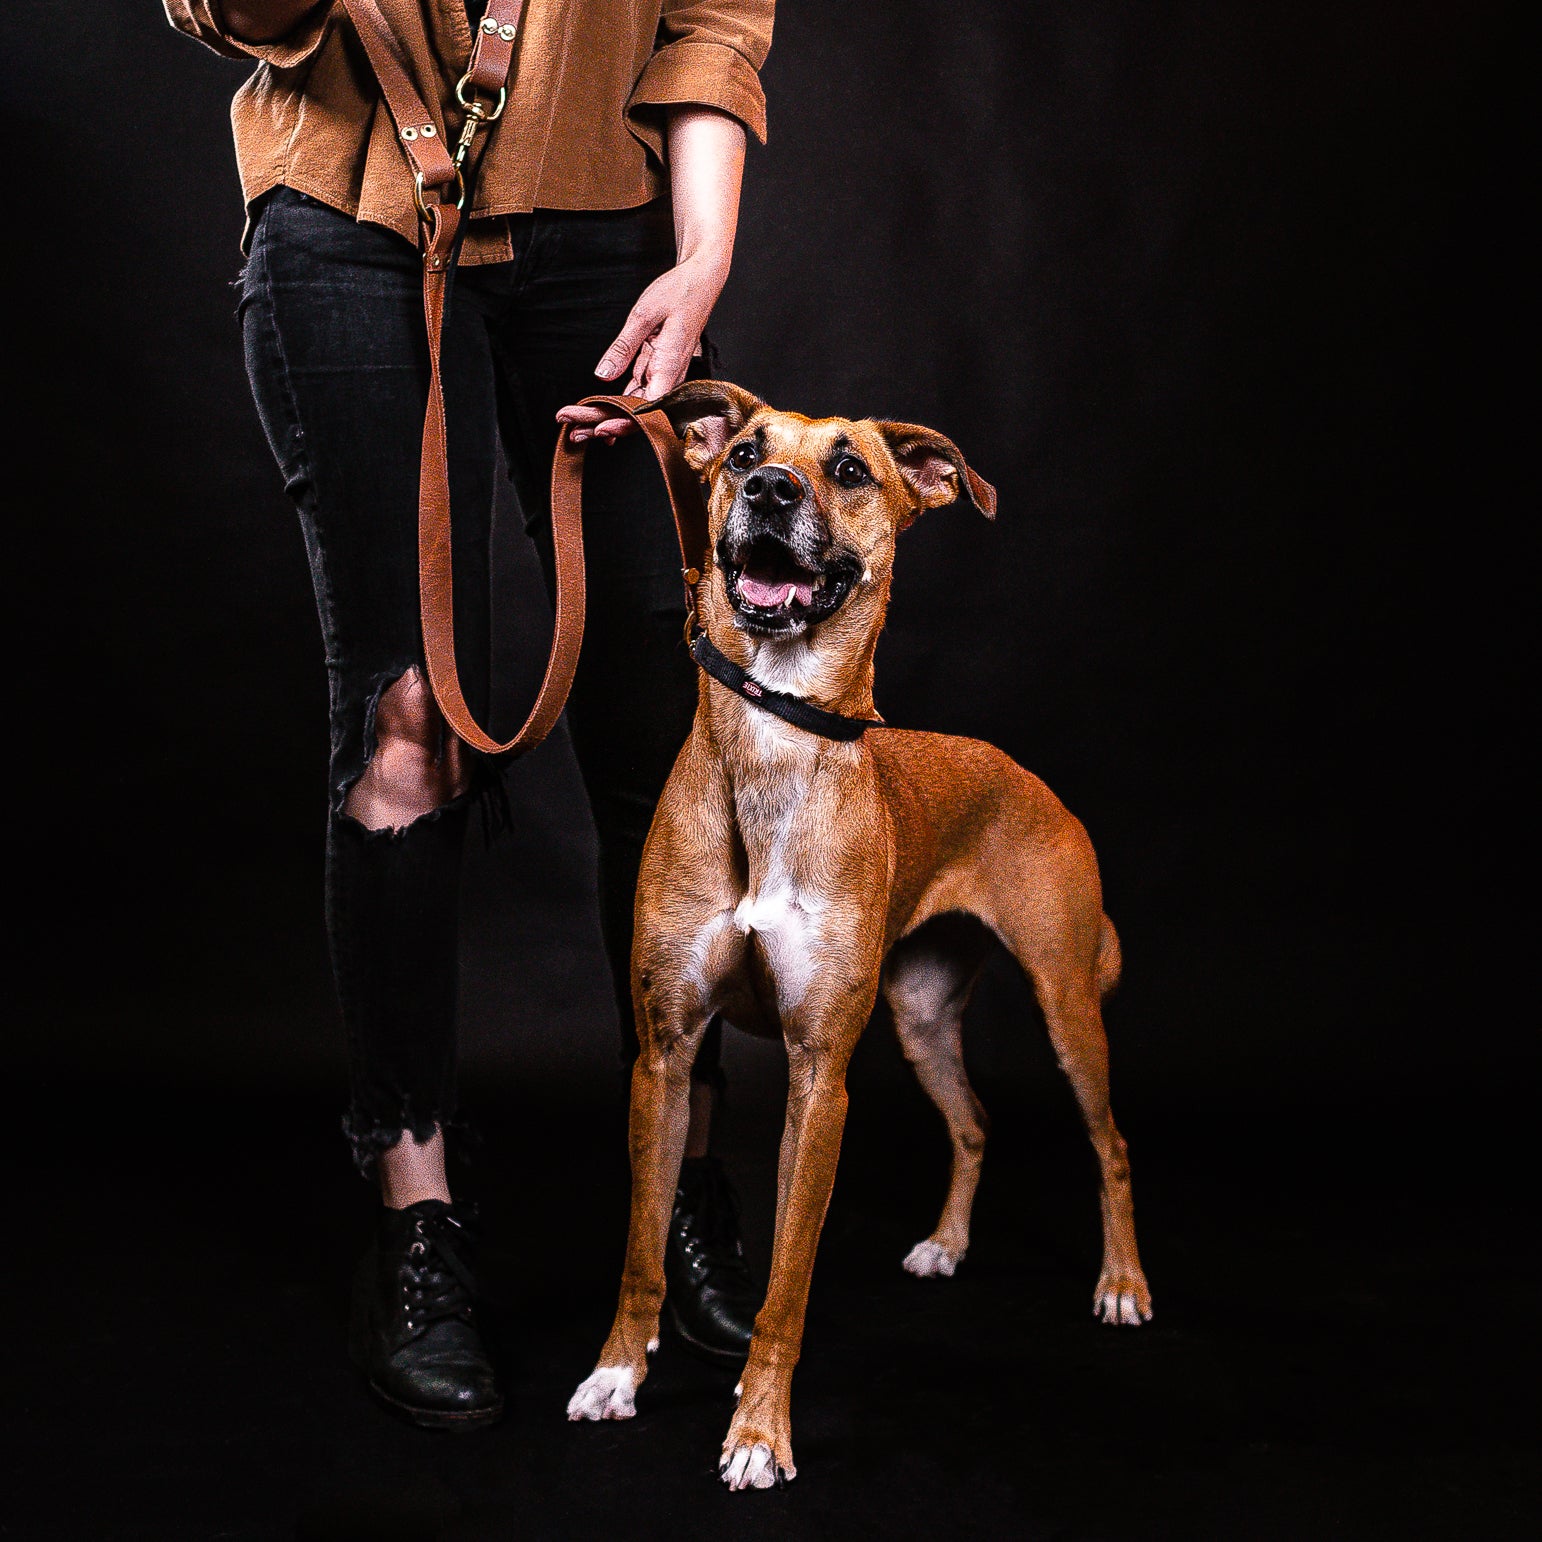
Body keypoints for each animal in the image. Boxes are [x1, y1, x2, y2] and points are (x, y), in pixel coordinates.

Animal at [564, 385, 1147, 1492]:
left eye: (845, 469)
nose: (767, 487)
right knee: (975, 1124)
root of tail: (1026, 774)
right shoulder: (664, 1054)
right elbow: (639, 1248)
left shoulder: (818, 1075)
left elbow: (788, 1284)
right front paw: (619, 1372)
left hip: (1066, 1011)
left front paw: (758, 1432)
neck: (776, 729)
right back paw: (948, 1245)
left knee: (1111, 1145)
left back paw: (1124, 1284)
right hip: (918, 1016)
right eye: (742, 450)